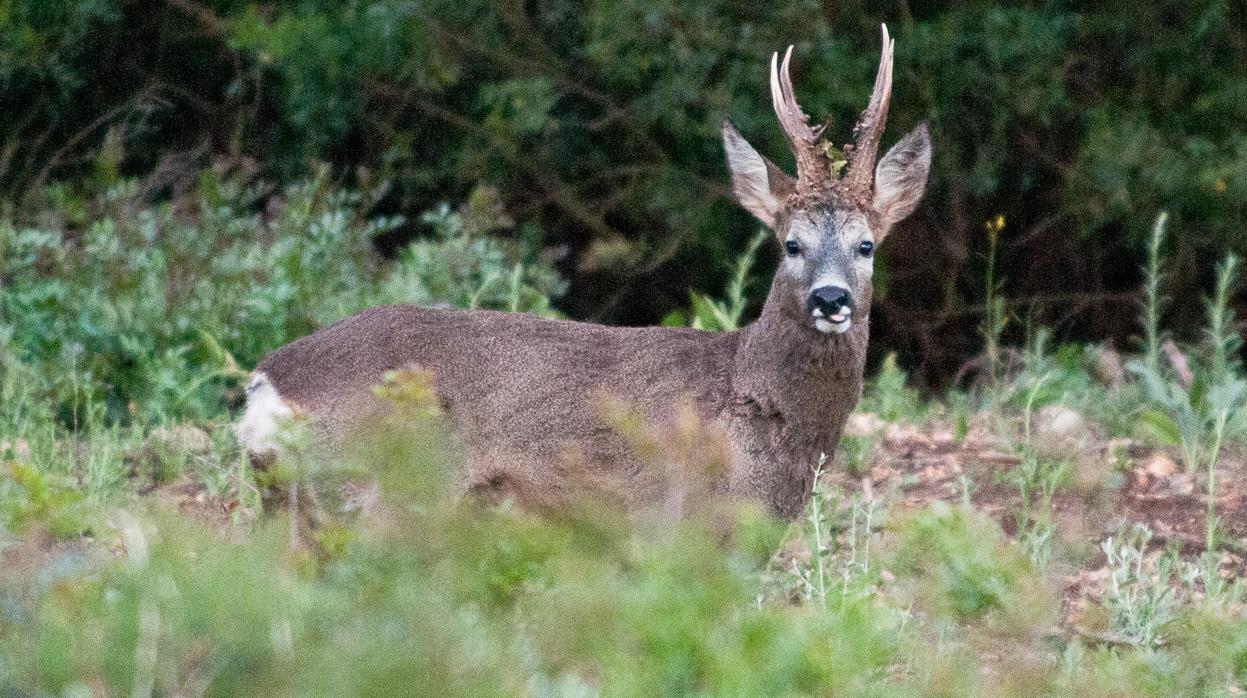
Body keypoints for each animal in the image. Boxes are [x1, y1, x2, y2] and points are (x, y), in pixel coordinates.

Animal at [238, 25, 932, 518]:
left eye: (866, 245)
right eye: (790, 243)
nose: (831, 298)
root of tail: (265, 384)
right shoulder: (676, 525)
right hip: (380, 492)